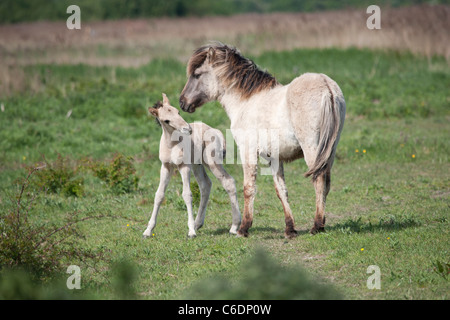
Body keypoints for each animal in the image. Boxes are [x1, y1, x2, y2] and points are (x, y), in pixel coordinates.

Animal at [144, 92, 243, 238]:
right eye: (166, 120)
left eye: (178, 112)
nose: (188, 129)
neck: (172, 145)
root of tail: (217, 131)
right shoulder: (166, 166)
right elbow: (159, 195)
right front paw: (148, 231)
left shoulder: (184, 166)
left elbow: (187, 195)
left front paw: (191, 232)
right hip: (198, 165)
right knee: (205, 185)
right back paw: (198, 224)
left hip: (212, 162)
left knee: (228, 182)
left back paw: (234, 226)